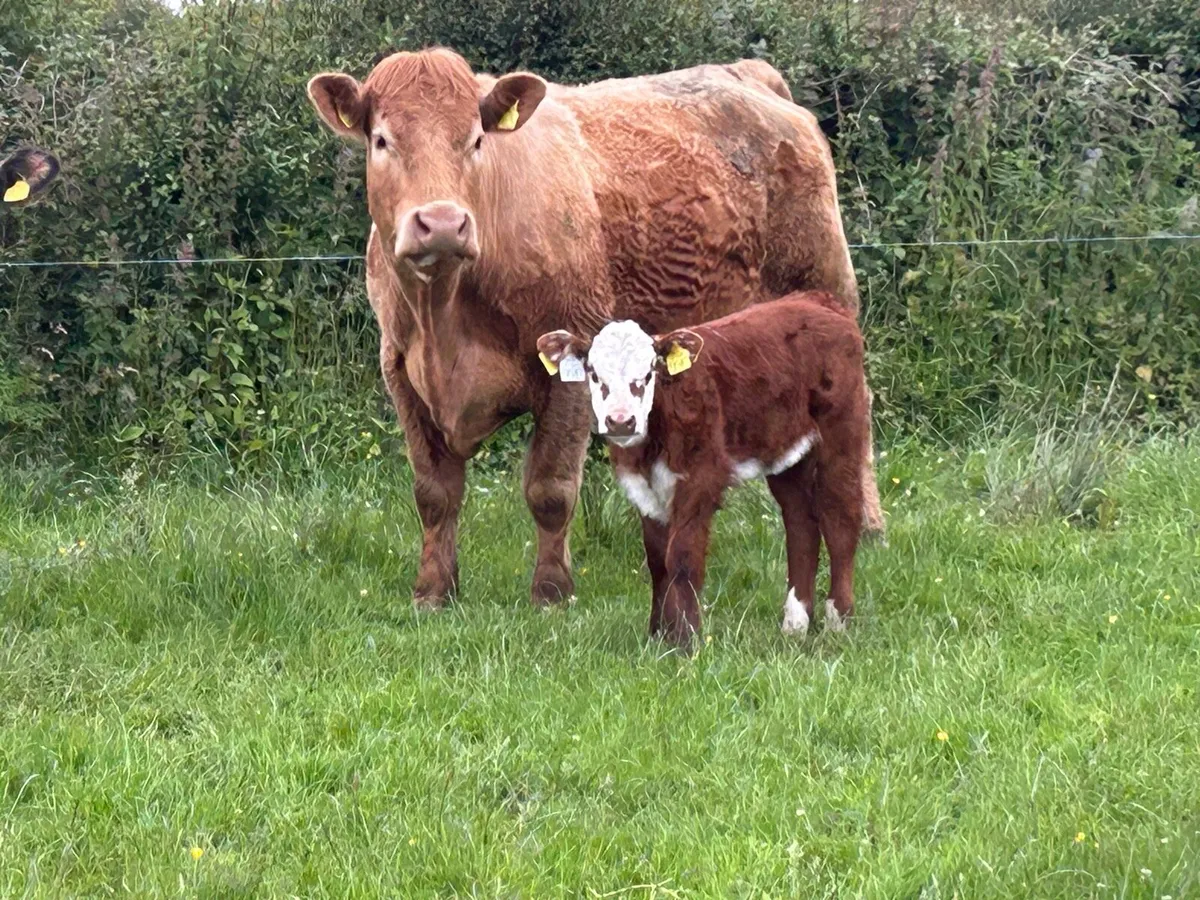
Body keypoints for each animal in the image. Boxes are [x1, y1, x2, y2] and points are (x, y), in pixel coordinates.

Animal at [306, 47, 883, 610]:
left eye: (475, 140)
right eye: (382, 140)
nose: (444, 223)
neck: (445, 318)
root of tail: (746, 74)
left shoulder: (568, 365)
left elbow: (550, 488)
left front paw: (551, 593)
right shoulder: (402, 372)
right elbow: (434, 492)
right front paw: (433, 590)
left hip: (827, 291)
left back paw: (869, 523)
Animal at [537, 291, 868, 647]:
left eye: (649, 373)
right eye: (594, 373)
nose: (621, 421)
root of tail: (817, 301)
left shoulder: (700, 478)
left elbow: (682, 557)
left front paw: (686, 639)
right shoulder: (642, 487)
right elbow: (658, 560)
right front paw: (660, 635)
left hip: (842, 431)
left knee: (839, 517)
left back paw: (838, 622)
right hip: (787, 450)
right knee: (800, 521)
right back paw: (795, 624)